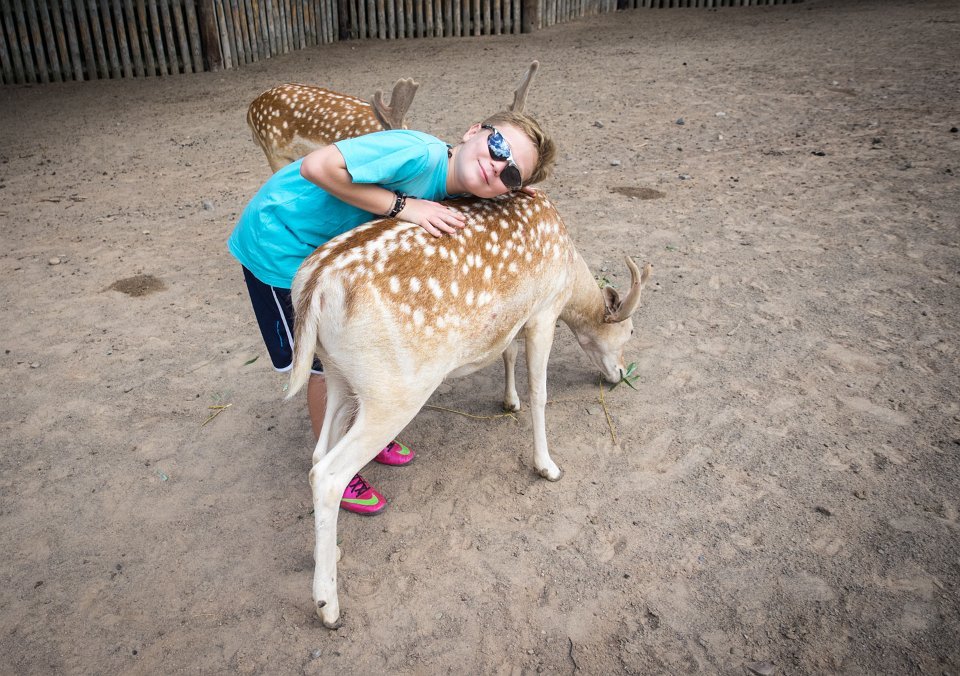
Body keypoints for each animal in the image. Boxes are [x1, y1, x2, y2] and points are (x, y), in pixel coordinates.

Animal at [286, 190, 652, 628]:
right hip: (393, 392)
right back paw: (328, 606)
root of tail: (314, 286)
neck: (568, 269)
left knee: (317, 453)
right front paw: (547, 466)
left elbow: (507, 353)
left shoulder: (514, 320)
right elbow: (540, 392)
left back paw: (332, 553)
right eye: (629, 330)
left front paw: (509, 401)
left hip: (338, 375)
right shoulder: (544, 312)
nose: (621, 374)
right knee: (327, 474)